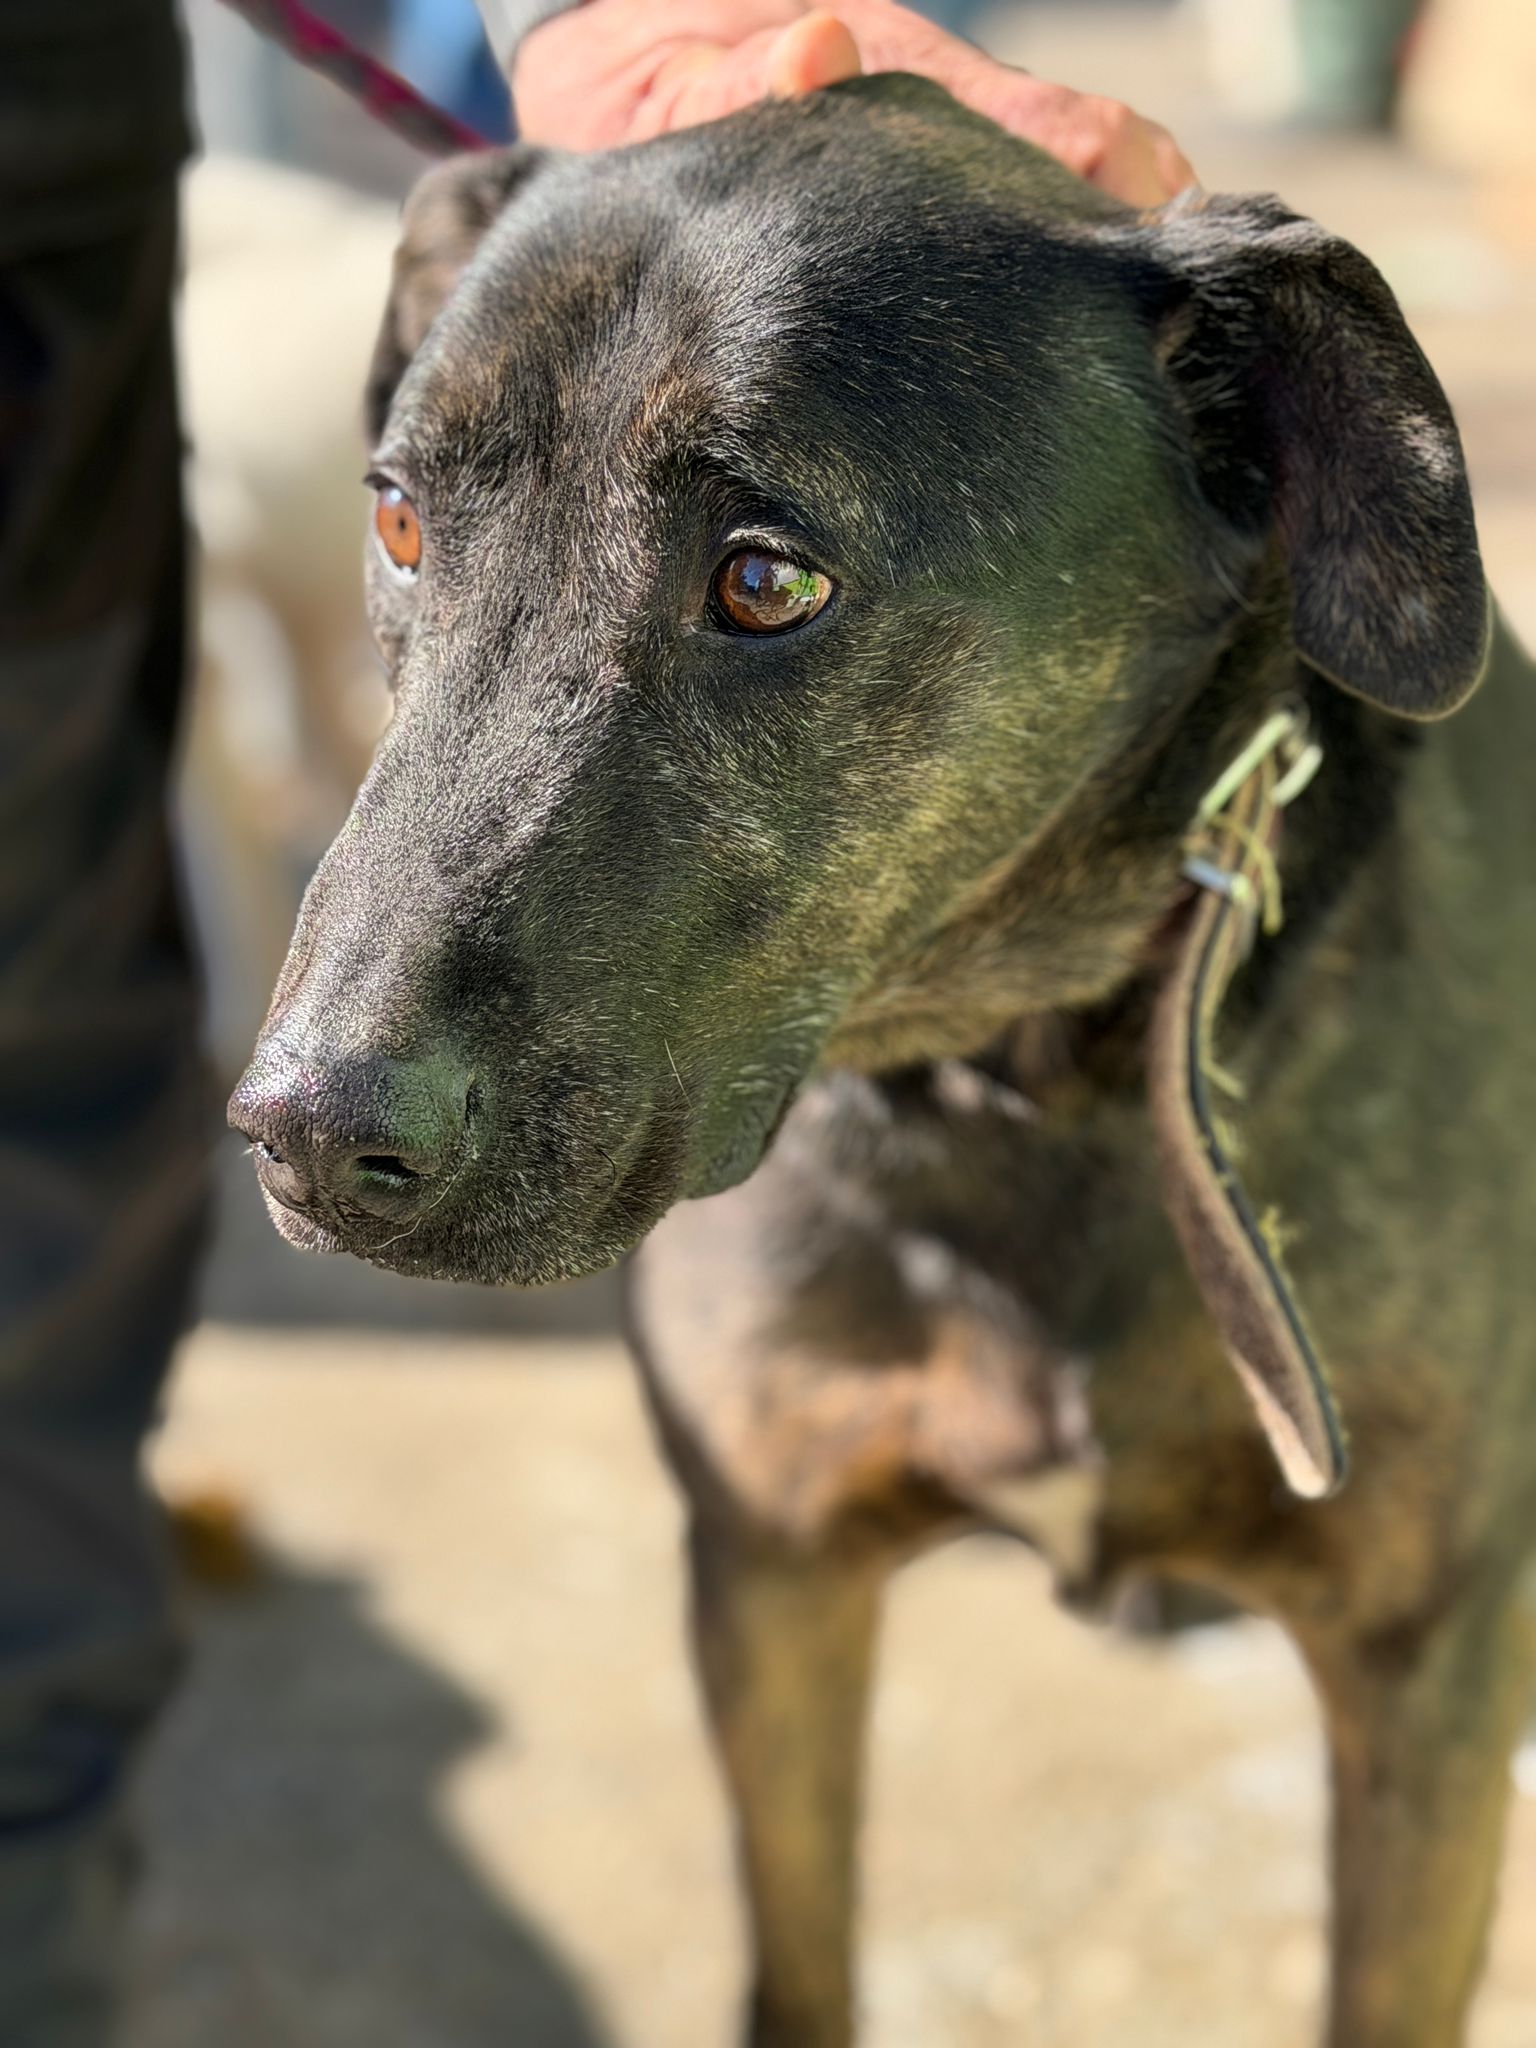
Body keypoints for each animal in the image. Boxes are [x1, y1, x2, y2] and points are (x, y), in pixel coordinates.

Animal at [229, 77, 1536, 2046]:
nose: (304, 1133)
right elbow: (798, 1961)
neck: (1009, 1091)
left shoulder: (1425, 1674)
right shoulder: (772, 1575)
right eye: (397, 525)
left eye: (766, 578)